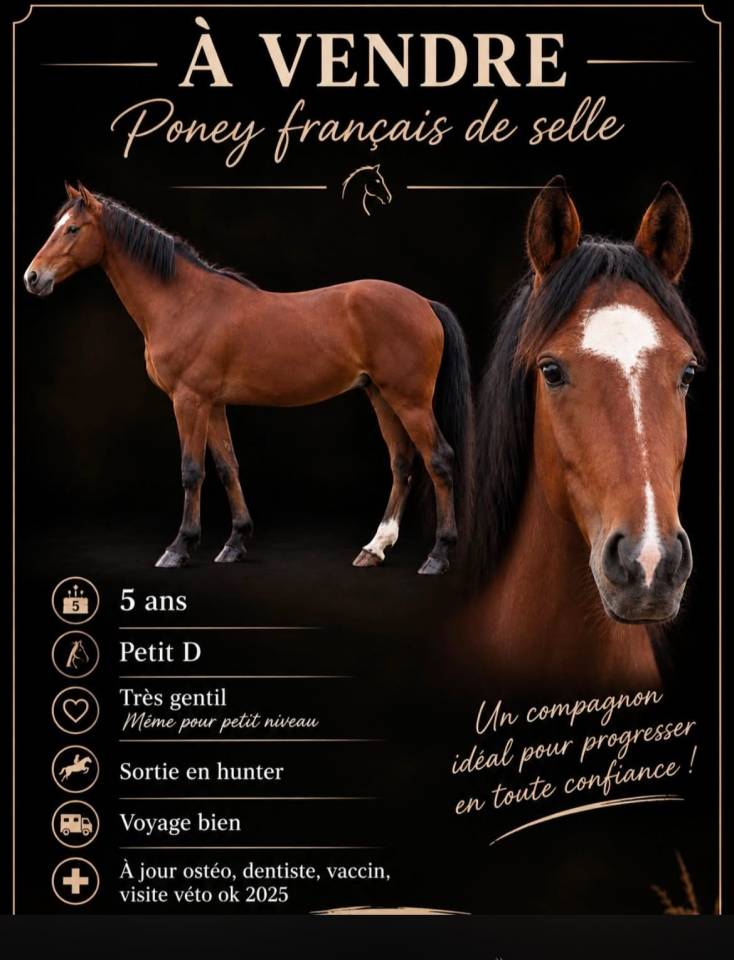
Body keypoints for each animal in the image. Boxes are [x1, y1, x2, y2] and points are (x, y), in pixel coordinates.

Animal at [24, 183, 471, 574]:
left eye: (72, 229)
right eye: (57, 225)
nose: (32, 277)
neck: (183, 302)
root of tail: (424, 303)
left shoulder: (188, 400)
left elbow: (192, 470)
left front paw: (179, 548)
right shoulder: (213, 403)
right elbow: (227, 467)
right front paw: (234, 543)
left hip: (410, 400)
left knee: (439, 459)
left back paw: (437, 556)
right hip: (380, 395)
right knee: (402, 463)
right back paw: (374, 549)